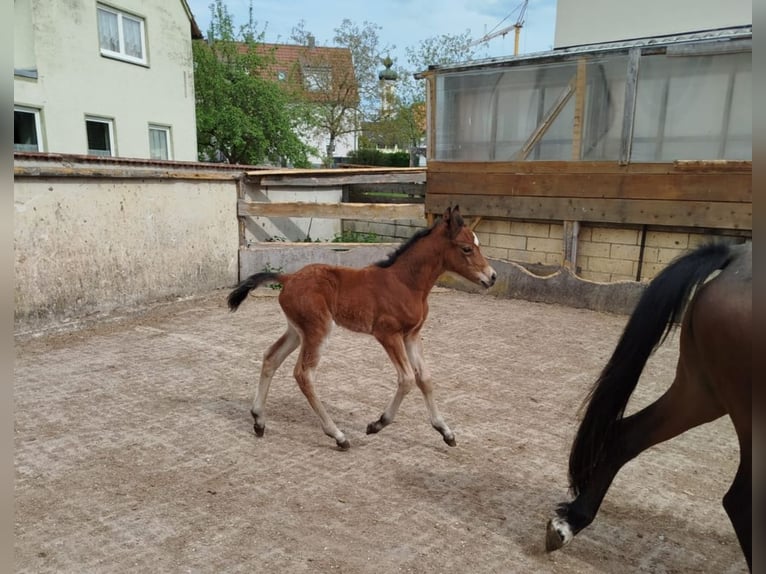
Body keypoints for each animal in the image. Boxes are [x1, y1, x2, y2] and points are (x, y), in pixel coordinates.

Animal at [227, 206, 497, 450]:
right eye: (466, 248)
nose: (492, 276)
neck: (406, 283)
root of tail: (288, 278)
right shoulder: (388, 334)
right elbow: (407, 379)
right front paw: (377, 424)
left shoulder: (412, 335)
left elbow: (425, 378)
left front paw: (445, 432)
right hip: (318, 330)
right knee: (303, 374)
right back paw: (338, 435)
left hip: (297, 330)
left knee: (271, 357)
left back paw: (259, 420)